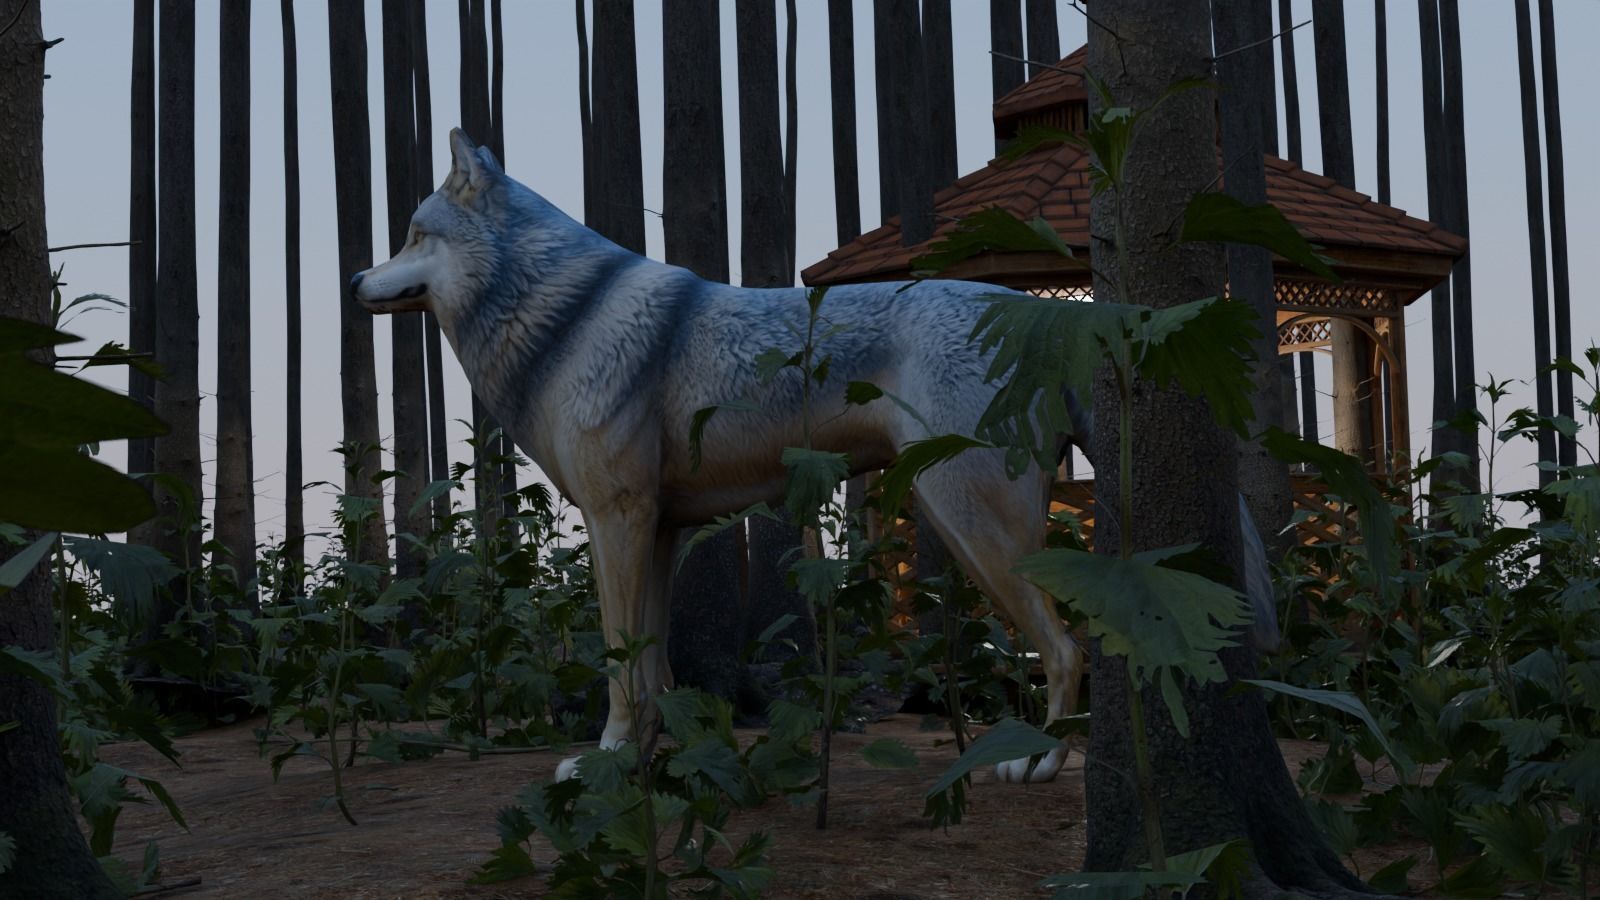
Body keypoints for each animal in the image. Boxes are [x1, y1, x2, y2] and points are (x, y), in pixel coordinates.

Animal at [353, 130, 1279, 784]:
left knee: (1067, 649)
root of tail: (1048, 309)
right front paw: (646, 765)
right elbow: (650, 671)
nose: (356, 282)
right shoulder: (653, 531)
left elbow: (621, 670)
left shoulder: (616, 522)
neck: (564, 316)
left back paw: (1038, 763)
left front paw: (607, 761)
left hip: (974, 528)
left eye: (412, 235)